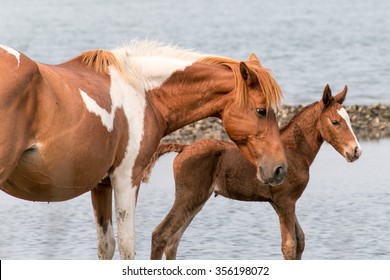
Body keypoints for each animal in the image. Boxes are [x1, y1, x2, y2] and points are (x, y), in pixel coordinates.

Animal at [0, 41, 286, 258]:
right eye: (261, 111)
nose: (279, 169)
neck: (142, 91)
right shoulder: (127, 178)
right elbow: (128, 247)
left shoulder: (101, 185)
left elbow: (107, 246)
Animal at [146, 84, 362, 260]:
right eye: (335, 122)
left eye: (349, 121)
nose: (356, 151)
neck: (294, 150)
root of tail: (183, 148)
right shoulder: (285, 200)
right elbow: (290, 245)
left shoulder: (281, 201)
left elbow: (300, 240)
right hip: (188, 196)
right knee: (161, 235)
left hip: (197, 200)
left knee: (173, 240)